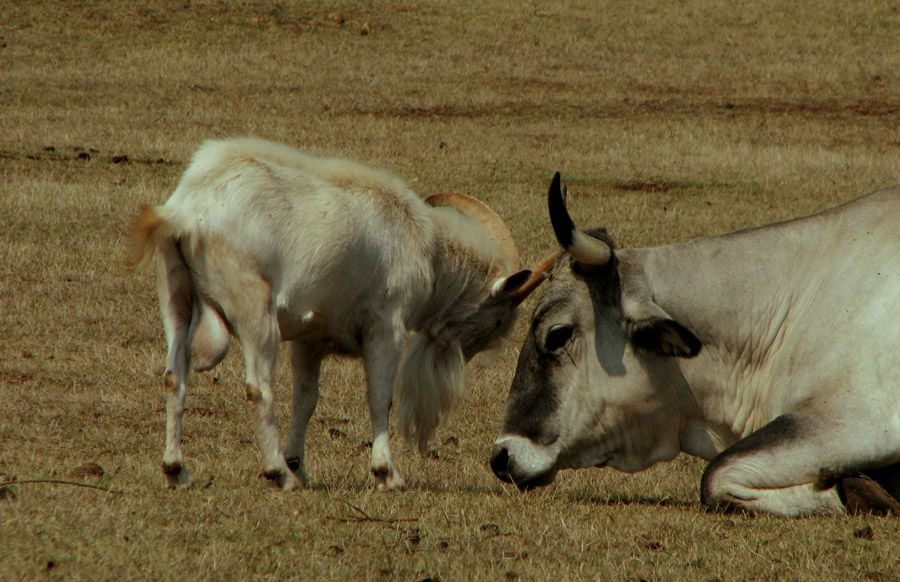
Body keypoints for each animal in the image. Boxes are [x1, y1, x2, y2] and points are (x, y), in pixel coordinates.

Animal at [126, 139, 548, 490]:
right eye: (499, 320)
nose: (471, 355)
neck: (430, 252)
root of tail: (186, 211)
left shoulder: (310, 339)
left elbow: (305, 399)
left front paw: (298, 464)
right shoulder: (386, 327)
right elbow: (380, 397)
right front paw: (386, 474)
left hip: (175, 295)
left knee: (174, 376)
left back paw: (176, 469)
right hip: (255, 310)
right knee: (258, 387)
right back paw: (277, 474)